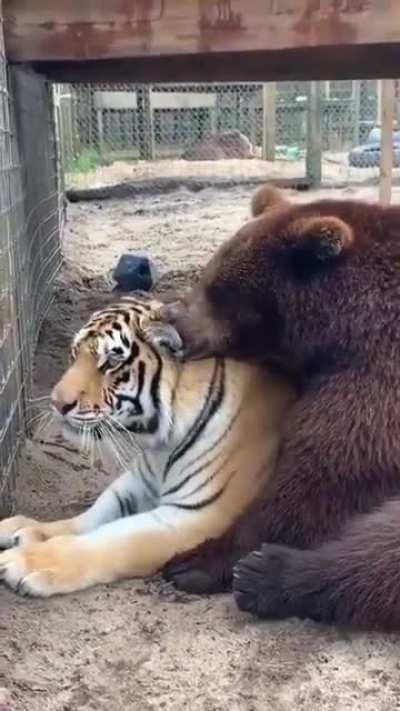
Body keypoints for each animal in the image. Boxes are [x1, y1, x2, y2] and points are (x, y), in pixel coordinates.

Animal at [0, 295, 294, 598]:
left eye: (111, 362)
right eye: (74, 353)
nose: (57, 403)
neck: (162, 444)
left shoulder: (196, 516)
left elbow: (109, 541)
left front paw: (26, 561)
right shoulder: (138, 483)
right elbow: (90, 517)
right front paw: (26, 529)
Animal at [156, 185, 400, 630]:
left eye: (220, 290)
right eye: (207, 275)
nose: (173, 320)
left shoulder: (378, 375)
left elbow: (325, 475)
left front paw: (194, 560)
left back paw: (271, 575)